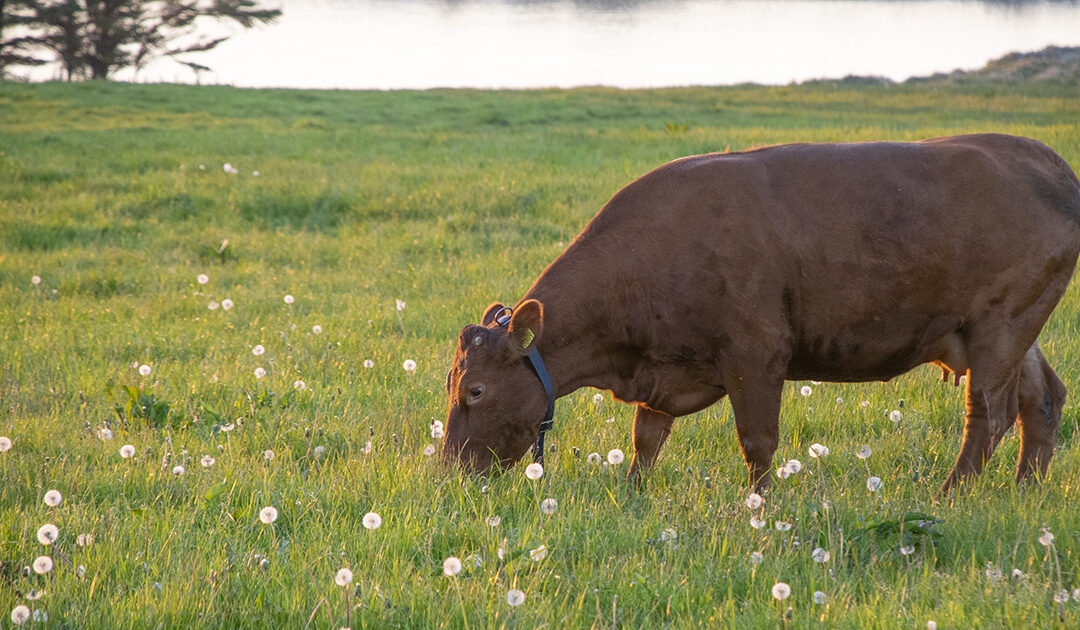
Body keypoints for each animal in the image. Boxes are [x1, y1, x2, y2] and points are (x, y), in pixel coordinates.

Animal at [438, 134, 1080, 497]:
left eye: (475, 390)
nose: (450, 474)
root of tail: (1040, 158)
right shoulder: (664, 369)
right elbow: (646, 437)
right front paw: (633, 494)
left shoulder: (757, 353)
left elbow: (758, 441)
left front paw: (760, 508)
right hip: (1003, 332)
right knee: (1042, 398)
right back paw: (1024, 491)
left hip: (1001, 326)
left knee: (988, 414)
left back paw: (953, 494)